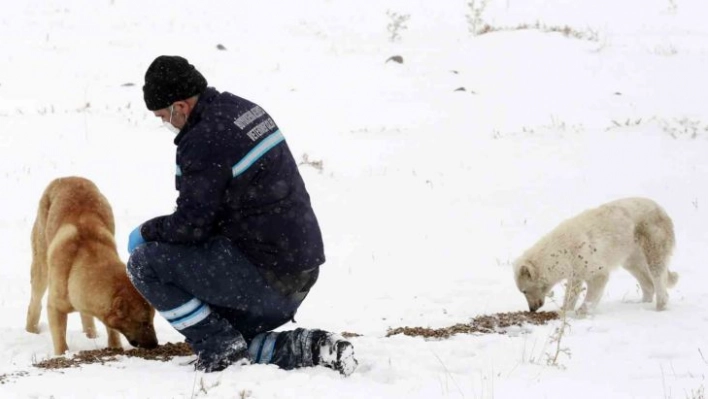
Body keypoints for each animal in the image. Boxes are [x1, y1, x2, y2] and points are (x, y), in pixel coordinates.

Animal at [25, 177, 158, 354]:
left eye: (152, 319)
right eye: (143, 322)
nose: (155, 344)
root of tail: (68, 177)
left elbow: (112, 330)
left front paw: (115, 347)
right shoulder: (55, 307)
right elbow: (60, 339)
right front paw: (62, 355)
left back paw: (91, 334)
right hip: (41, 265)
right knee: (35, 302)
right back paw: (31, 331)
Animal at [516, 198, 680, 314]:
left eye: (524, 291)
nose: (532, 309)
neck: (562, 250)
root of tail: (662, 209)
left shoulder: (588, 261)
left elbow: (597, 282)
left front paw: (581, 312)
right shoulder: (575, 270)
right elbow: (572, 291)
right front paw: (564, 310)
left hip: (652, 241)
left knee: (657, 273)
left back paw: (659, 307)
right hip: (630, 255)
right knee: (646, 281)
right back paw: (640, 303)